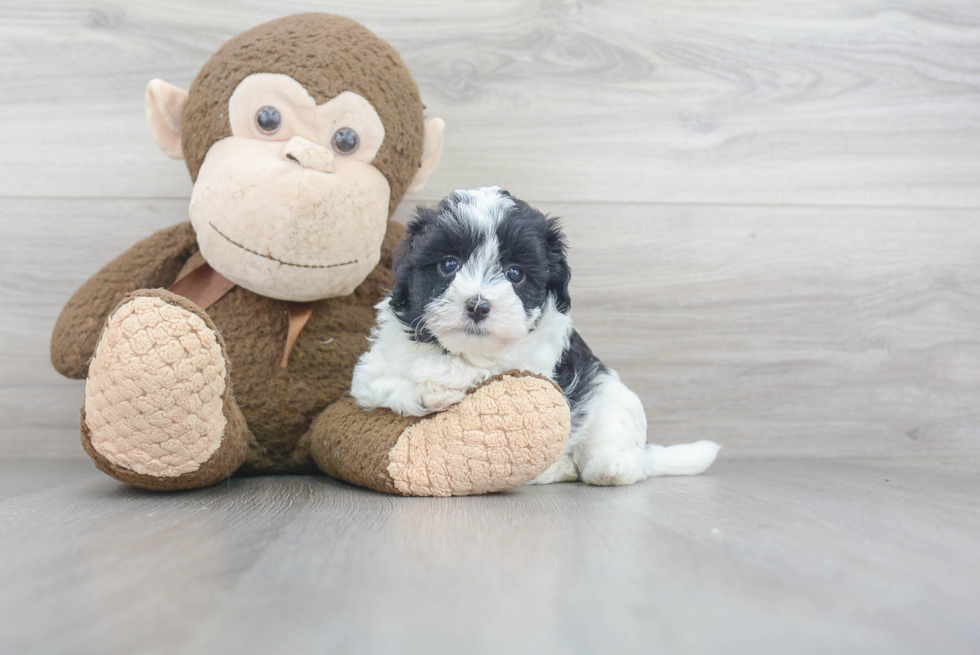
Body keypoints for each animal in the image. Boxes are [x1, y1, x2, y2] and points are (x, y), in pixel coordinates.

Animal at [352, 187, 720, 484]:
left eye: (515, 273)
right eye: (448, 264)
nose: (477, 306)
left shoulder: (534, 361)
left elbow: (490, 367)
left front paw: (442, 379)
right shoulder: (372, 370)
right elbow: (384, 380)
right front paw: (429, 389)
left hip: (610, 399)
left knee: (621, 451)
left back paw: (609, 469)